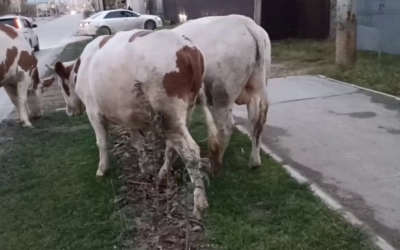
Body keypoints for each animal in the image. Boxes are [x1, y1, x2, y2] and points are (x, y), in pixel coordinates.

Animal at [47, 29, 222, 220]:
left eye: (61, 85)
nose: (68, 111)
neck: (81, 68)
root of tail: (188, 48)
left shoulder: (94, 112)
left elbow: (101, 142)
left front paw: (102, 169)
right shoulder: (127, 115)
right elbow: (137, 142)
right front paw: (144, 167)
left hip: (169, 111)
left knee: (190, 152)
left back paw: (199, 204)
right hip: (183, 112)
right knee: (173, 146)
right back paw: (162, 174)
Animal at [172, 14, 272, 176]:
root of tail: (247, 23)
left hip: (223, 94)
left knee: (227, 127)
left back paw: (215, 164)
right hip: (257, 87)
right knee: (256, 122)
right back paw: (254, 162)